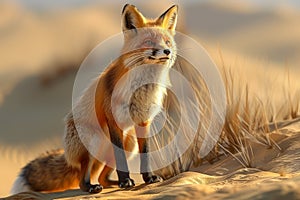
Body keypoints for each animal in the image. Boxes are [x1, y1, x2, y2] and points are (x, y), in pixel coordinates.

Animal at [10, 3, 177, 194]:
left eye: (167, 42)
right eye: (149, 42)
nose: (167, 51)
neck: (141, 88)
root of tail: (68, 157)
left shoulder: (143, 120)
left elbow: (146, 154)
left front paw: (148, 178)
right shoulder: (113, 119)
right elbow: (121, 159)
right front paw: (125, 181)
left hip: (129, 143)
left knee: (103, 177)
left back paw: (112, 183)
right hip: (94, 141)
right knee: (82, 179)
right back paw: (92, 186)